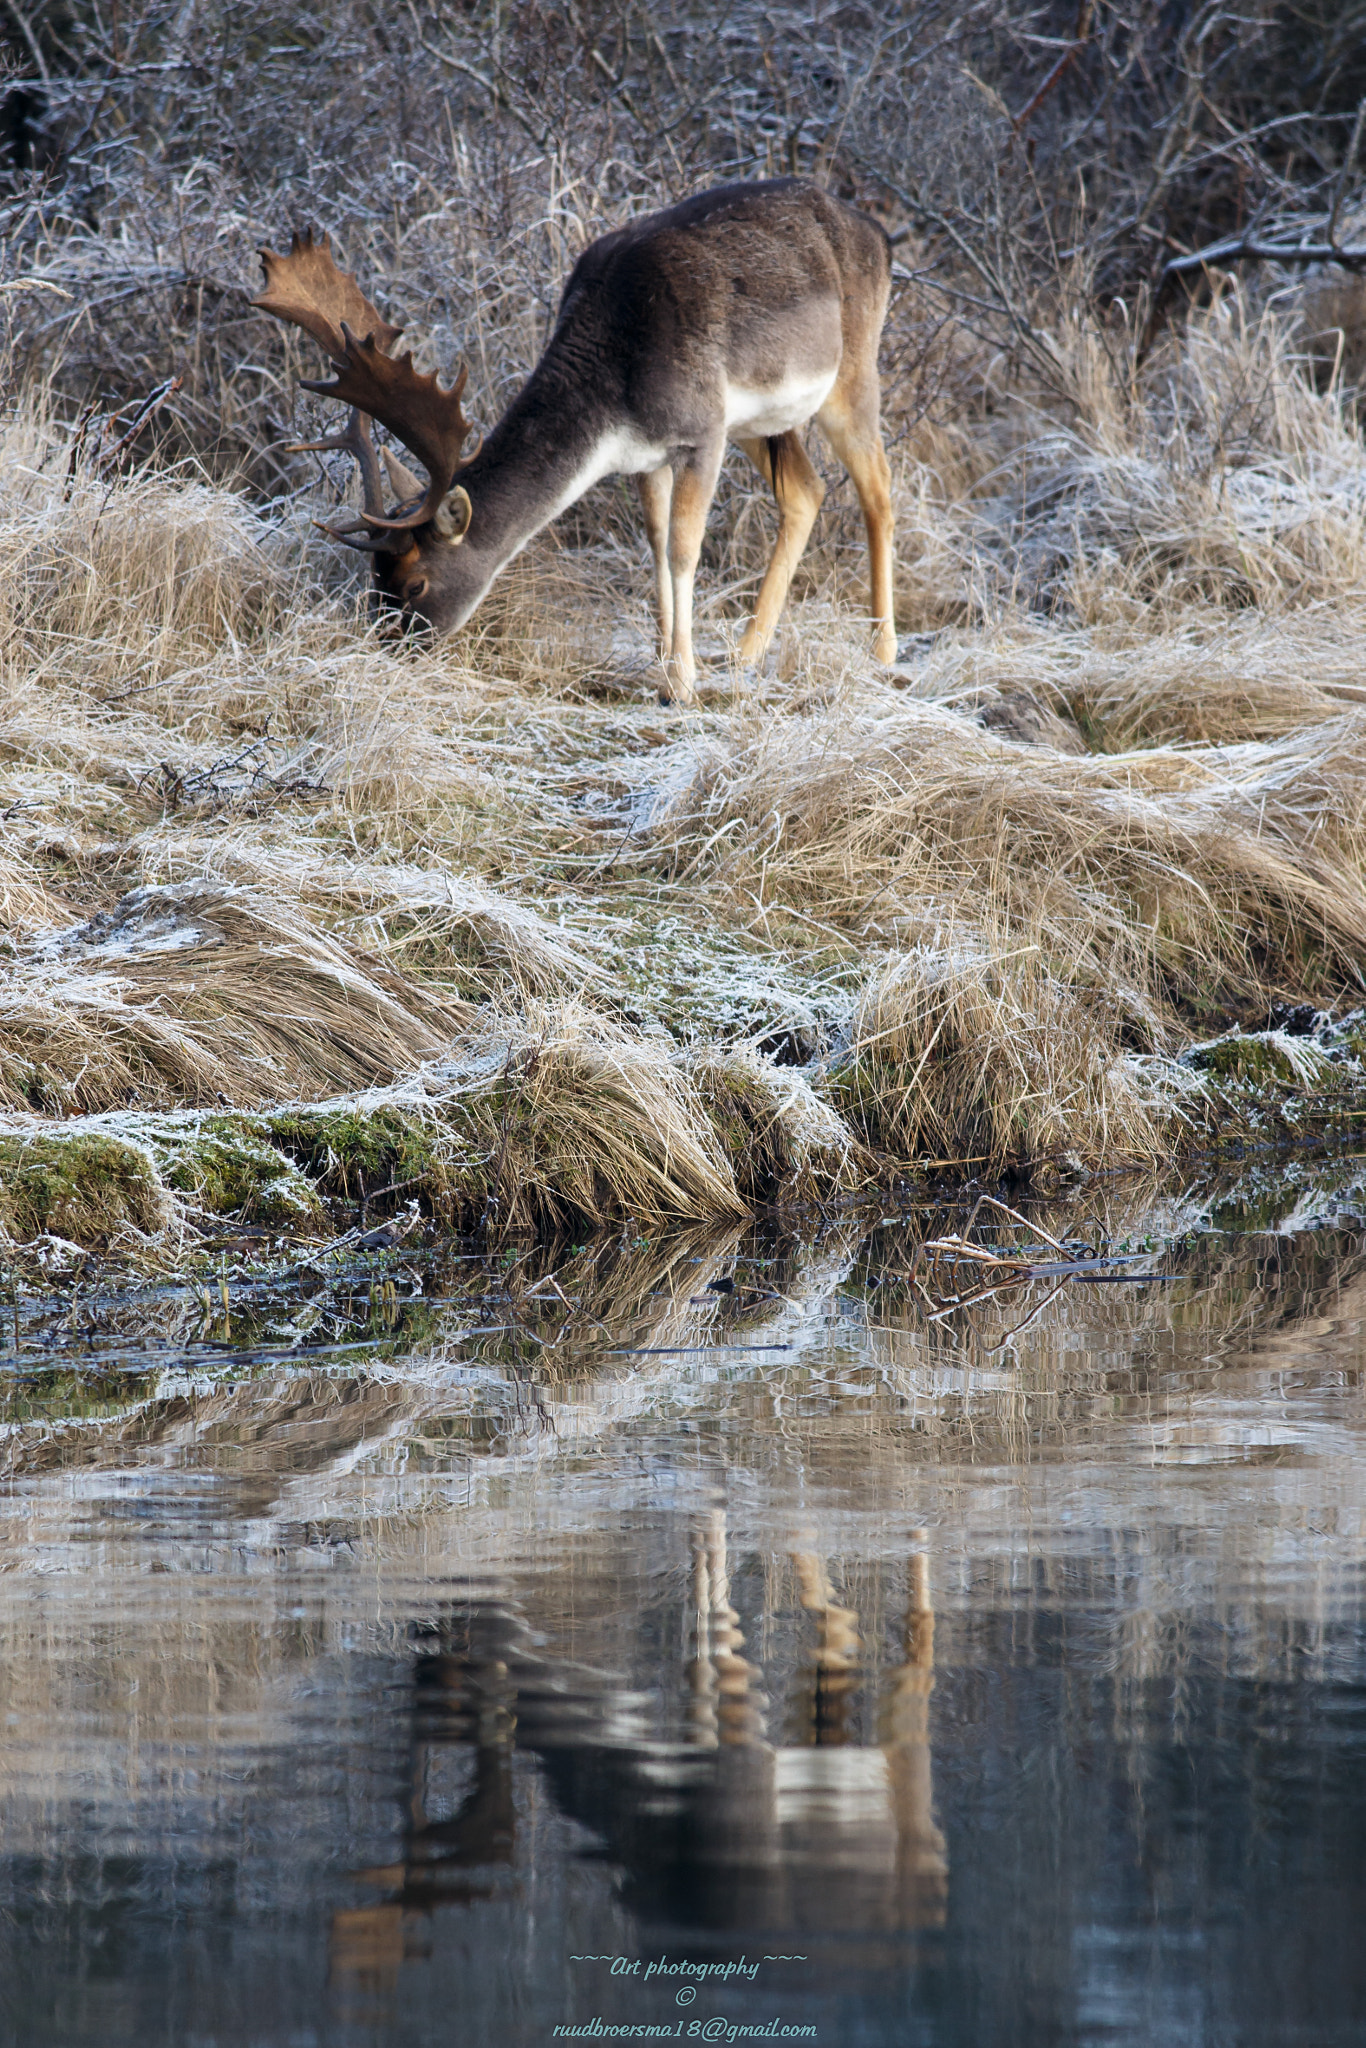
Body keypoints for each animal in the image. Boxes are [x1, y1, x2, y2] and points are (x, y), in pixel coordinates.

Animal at [254, 178, 897, 704]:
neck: (616, 396)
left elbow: (684, 549)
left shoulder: (702, 430)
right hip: (763, 423)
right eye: (374, 578)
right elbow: (654, 543)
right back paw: (747, 652)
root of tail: (879, 234)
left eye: (416, 582)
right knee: (807, 491)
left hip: (851, 371)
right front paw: (661, 661)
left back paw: (882, 651)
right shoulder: (647, 455)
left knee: (879, 490)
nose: (387, 649)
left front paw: (682, 684)